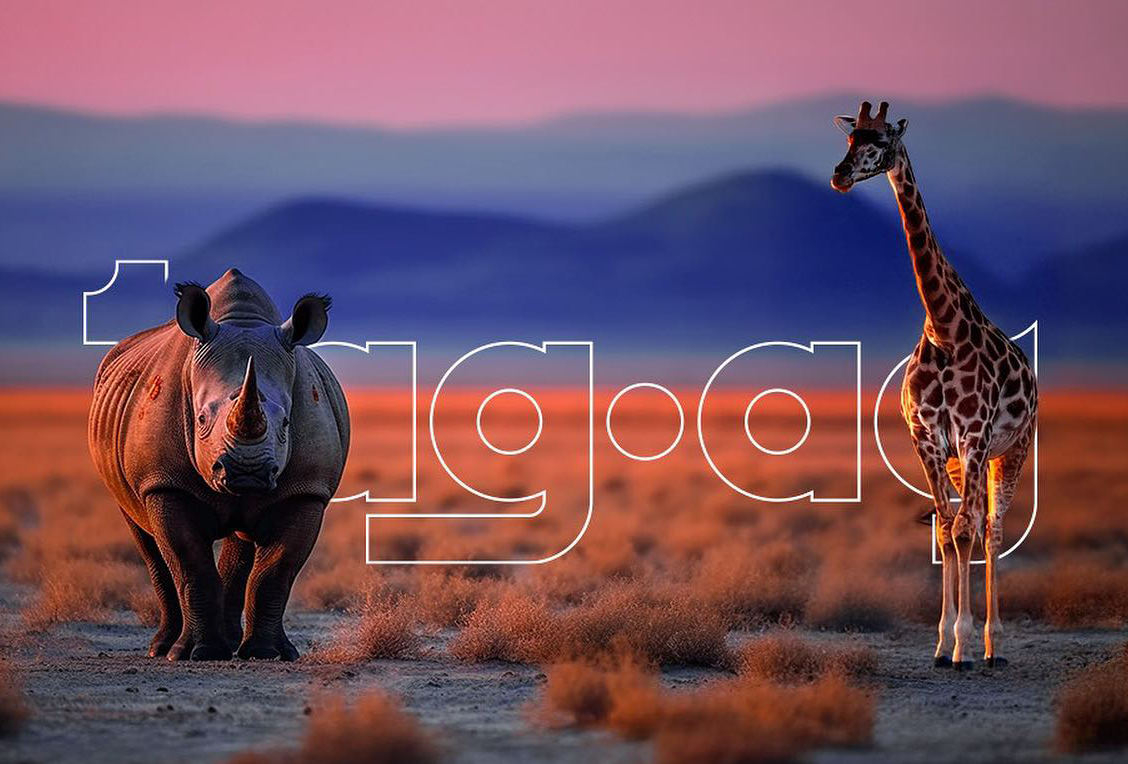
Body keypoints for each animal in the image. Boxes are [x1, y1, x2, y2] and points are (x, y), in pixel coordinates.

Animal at [89, 269, 349, 661]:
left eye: (287, 423)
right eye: (199, 420)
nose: (247, 472)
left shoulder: (306, 490)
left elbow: (277, 570)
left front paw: (267, 653)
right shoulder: (163, 482)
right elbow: (189, 563)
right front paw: (197, 652)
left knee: (242, 543)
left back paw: (235, 644)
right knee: (146, 538)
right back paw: (161, 648)